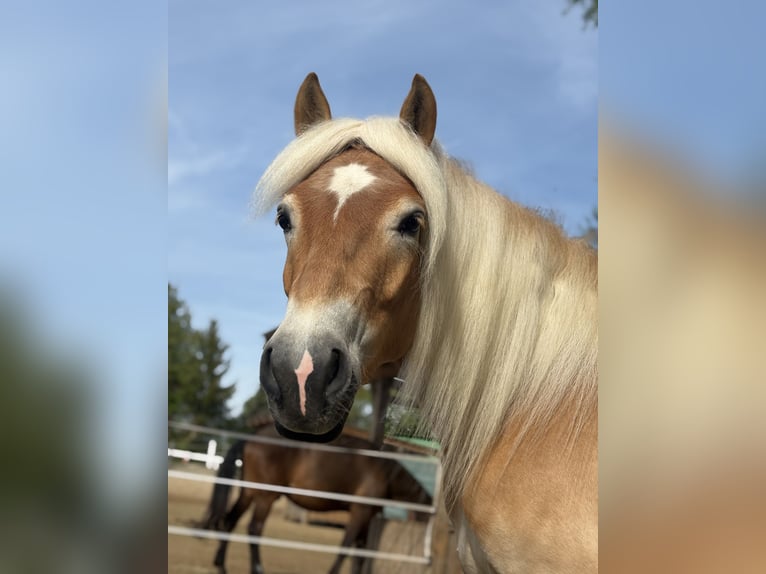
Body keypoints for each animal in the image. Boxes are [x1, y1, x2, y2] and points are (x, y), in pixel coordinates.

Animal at [201, 423, 432, 574]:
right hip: (266, 498)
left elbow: (360, 552)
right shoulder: (359, 513)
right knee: (254, 529)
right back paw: (257, 569)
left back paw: (221, 565)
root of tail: (253, 437)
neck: (384, 471)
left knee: (230, 522)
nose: (429, 557)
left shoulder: (366, 518)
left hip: (248, 493)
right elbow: (345, 548)